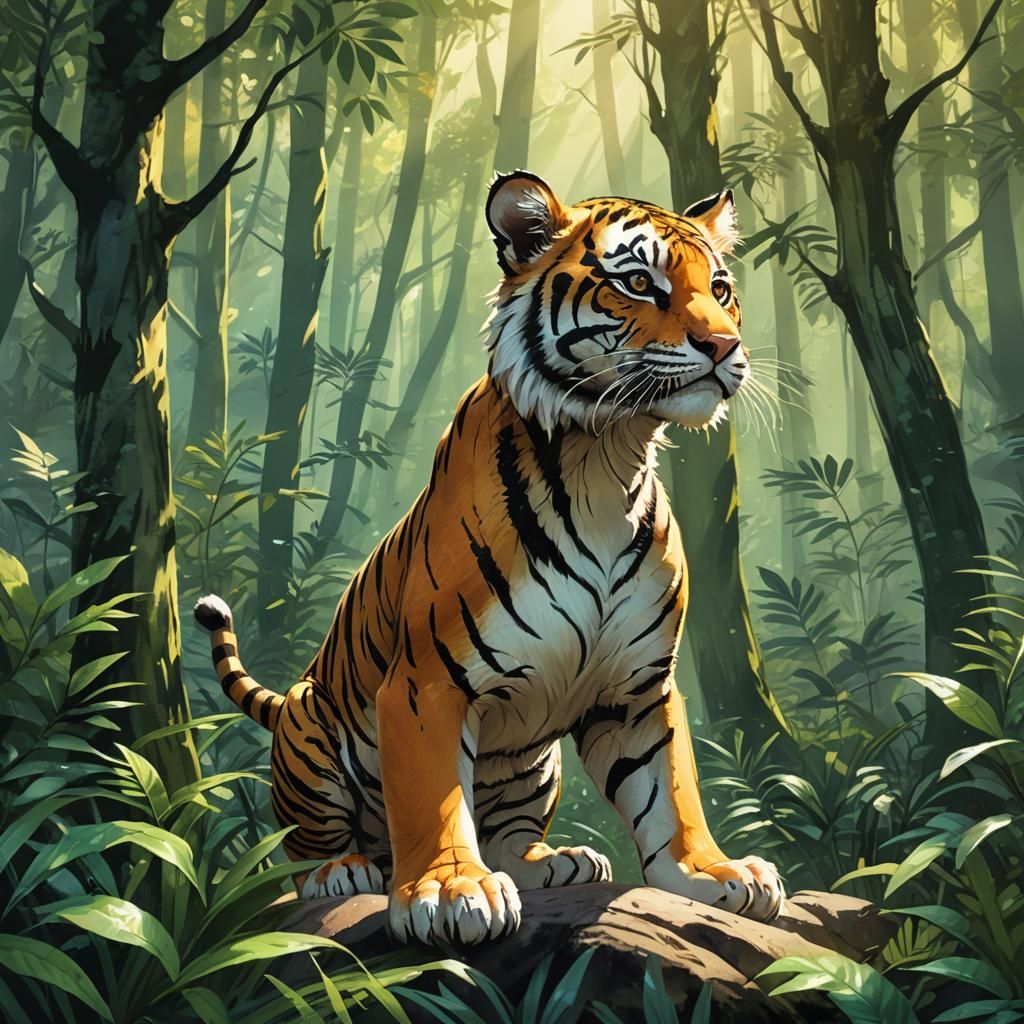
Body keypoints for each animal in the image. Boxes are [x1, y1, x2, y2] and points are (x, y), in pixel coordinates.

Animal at [195, 171, 785, 947]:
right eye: (637, 282)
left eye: (719, 288)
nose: (724, 345)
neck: (606, 454)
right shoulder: (425, 683)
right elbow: (435, 798)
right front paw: (448, 891)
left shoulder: (639, 689)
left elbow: (672, 790)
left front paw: (714, 872)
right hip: (308, 727)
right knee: (305, 845)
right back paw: (343, 871)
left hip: (536, 764)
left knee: (509, 833)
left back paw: (553, 861)